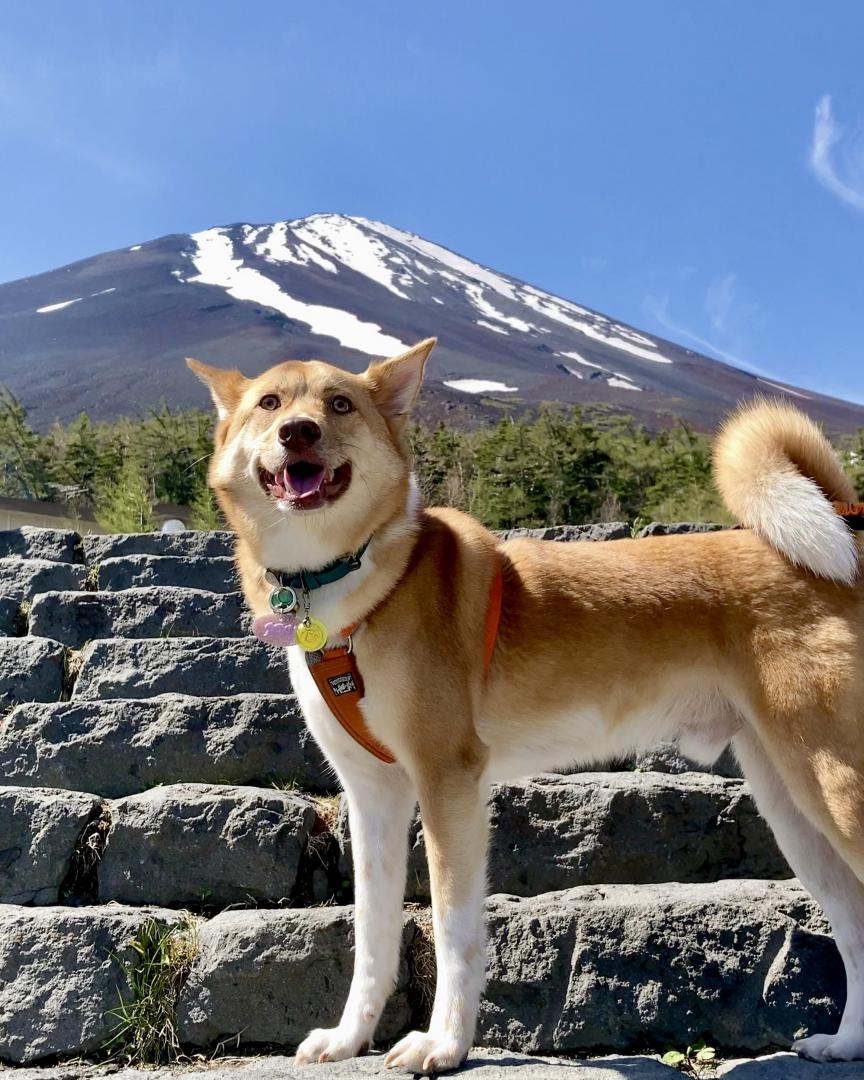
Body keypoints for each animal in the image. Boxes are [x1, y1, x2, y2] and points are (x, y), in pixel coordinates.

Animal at [189, 343, 864, 1071]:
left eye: (338, 404)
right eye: (271, 403)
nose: (299, 433)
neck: (351, 581)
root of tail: (845, 553)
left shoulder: (447, 784)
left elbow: (455, 930)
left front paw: (445, 1044)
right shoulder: (374, 796)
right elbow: (370, 934)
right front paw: (349, 1038)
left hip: (831, 785)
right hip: (791, 805)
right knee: (855, 926)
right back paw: (846, 1042)